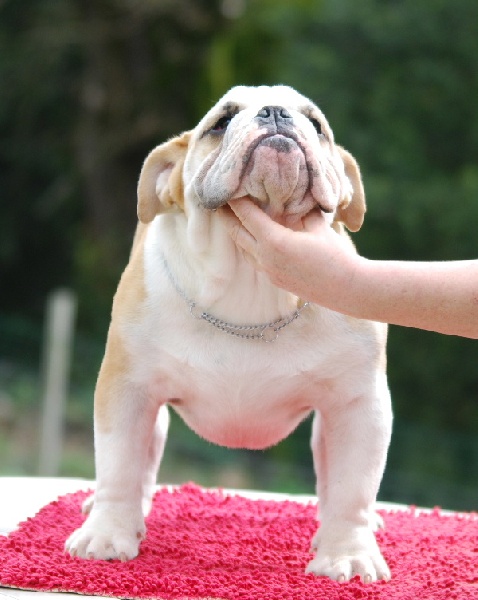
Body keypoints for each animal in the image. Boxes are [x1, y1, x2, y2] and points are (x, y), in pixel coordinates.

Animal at [66, 85, 393, 583]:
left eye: (316, 125)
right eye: (221, 122)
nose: (276, 114)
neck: (248, 283)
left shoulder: (359, 403)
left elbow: (352, 485)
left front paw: (347, 553)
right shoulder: (127, 389)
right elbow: (119, 464)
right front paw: (107, 534)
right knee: (139, 464)